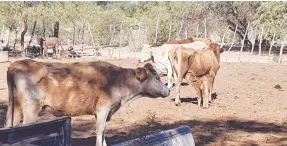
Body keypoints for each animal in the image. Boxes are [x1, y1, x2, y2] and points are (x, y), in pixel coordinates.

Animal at [5, 59, 171, 146]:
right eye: (157, 78)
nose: (169, 90)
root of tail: (17, 63)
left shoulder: (103, 111)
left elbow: (103, 131)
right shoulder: (103, 108)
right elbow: (99, 131)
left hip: (15, 107)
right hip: (31, 109)